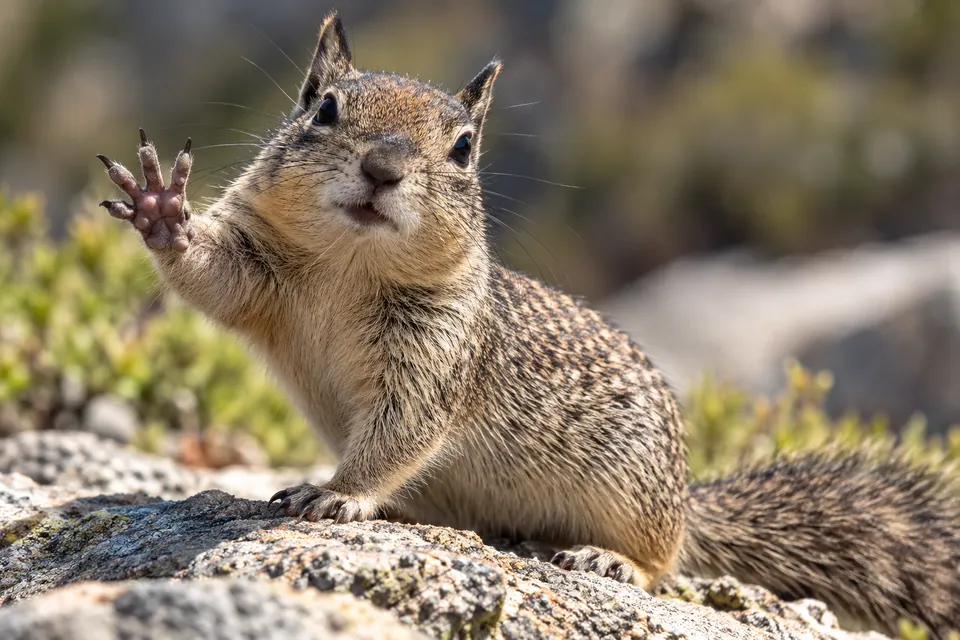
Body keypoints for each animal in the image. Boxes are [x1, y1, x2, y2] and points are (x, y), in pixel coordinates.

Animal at [97, 12, 960, 637]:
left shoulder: (437, 353)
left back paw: (610, 563)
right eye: (324, 107)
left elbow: (400, 433)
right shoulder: (259, 273)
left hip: (635, 496)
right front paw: (163, 211)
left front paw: (336, 495)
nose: (382, 169)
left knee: (666, 561)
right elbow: (214, 281)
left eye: (464, 148)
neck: (350, 266)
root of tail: (686, 497)